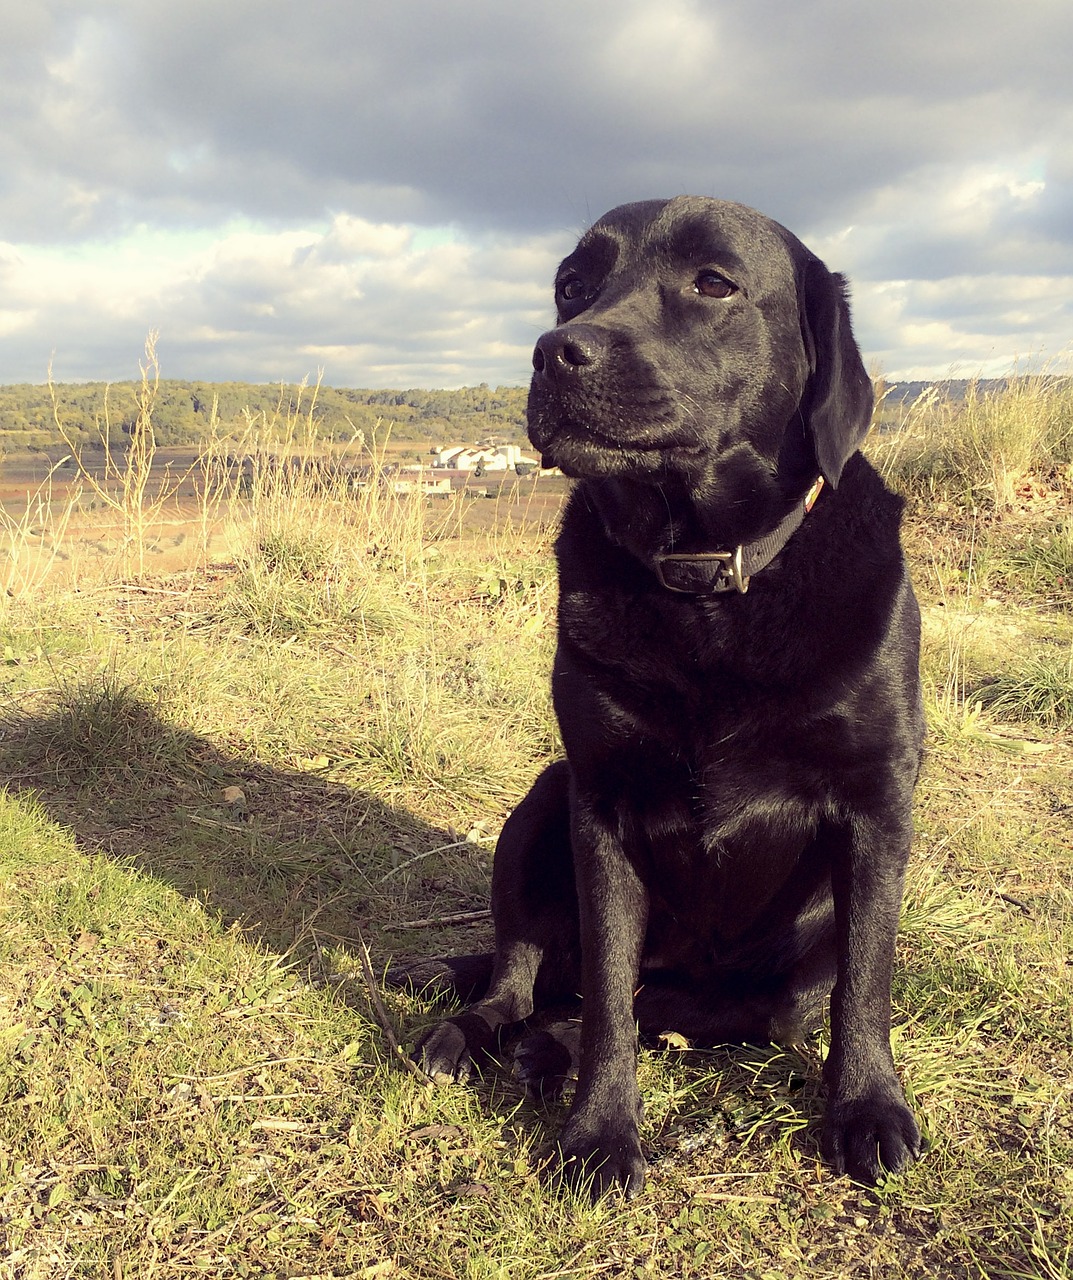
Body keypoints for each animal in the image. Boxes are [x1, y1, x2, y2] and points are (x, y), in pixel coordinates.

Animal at [412, 197, 921, 1198]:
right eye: (571, 284)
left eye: (713, 283)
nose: (554, 350)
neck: (702, 581)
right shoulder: (601, 805)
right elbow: (609, 996)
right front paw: (599, 1134)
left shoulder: (876, 804)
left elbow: (866, 982)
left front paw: (866, 1109)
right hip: (540, 803)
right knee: (529, 977)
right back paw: (477, 1035)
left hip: (770, 979)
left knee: (642, 1009)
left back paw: (547, 1050)